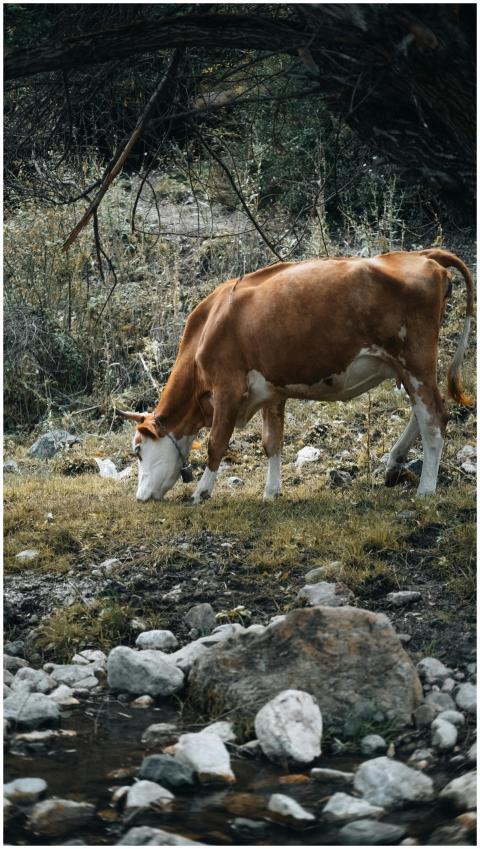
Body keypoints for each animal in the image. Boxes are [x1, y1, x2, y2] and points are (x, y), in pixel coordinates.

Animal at [117, 249, 474, 504]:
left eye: (138, 450)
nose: (139, 498)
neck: (208, 326)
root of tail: (421, 255)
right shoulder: (271, 391)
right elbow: (271, 442)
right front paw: (271, 492)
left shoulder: (227, 387)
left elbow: (216, 443)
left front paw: (201, 492)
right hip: (406, 368)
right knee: (421, 412)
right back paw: (395, 461)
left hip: (415, 360)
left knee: (434, 418)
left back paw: (426, 489)